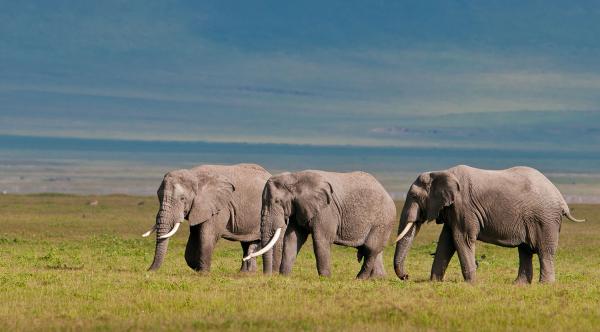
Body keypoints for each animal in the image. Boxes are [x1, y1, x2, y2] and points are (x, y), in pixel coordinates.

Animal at [143, 163, 276, 272]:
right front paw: (196, 267)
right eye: (158, 197)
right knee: (247, 242)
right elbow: (194, 235)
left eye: (182, 199)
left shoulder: (221, 207)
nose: (149, 271)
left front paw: (203, 273)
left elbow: (207, 234)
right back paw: (245, 273)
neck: (194, 175)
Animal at [244, 170, 398, 278]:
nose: (269, 276)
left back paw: (360, 279)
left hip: (383, 220)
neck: (295, 178)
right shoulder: (298, 208)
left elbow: (321, 240)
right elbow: (292, 239)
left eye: (277, 202)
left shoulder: (326, 210)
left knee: (371, 248)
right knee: (372, 250)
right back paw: (377, 279)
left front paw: (325, 278)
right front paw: (284, 276)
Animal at [392, 165, 584, 284]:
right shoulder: (453, 210)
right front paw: (434, 282)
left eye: (414, 196)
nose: (407, 276)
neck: (441, 172)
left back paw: (545, 285)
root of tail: (561, 200)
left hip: (545, 219)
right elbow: (446, 241)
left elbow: (461, 238)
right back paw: (519, 285)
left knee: (544, 251)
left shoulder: (464, 207)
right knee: (525, 251)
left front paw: (471, 284)